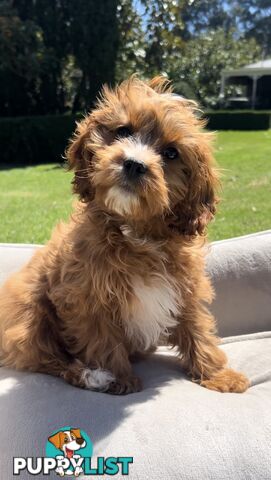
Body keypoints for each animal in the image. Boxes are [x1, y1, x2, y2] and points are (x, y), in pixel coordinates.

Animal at [0, 77, 251, 394]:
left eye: (171, 153)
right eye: (123, 131)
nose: (133, 163)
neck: (136, 231)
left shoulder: (186, 287)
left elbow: (198, 327)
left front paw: (218, 374)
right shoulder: (86, 295)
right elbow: (102, 337)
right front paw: (119, 378)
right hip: (29, 314)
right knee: (44, 357)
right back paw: (91, 375)